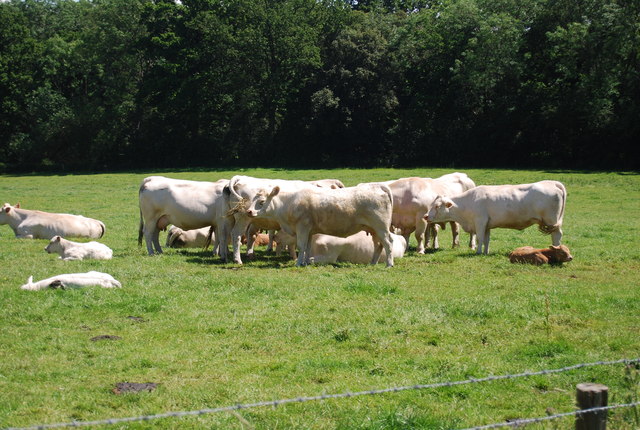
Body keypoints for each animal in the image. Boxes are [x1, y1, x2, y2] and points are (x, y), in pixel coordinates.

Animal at [425, 180, 567, 255]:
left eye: (437, 206)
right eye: (431, 204)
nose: (426, 216)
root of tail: (552, 182)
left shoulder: (480, 221)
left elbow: (480, 238)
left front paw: (478, 252)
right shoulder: (487, 225)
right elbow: (487, 240)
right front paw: (486, 252)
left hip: (551, 220)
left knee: (556, 235)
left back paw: (555, 250)